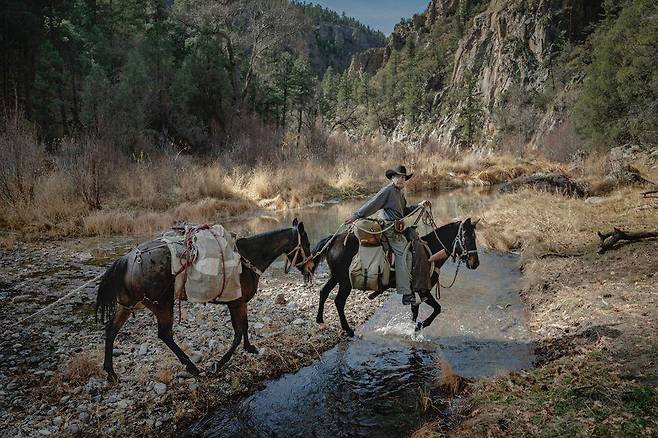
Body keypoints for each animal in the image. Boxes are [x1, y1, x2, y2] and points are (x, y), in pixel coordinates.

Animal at [93, 221, 316, 382]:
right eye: (306, 244)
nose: (311, 267)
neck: (247, 257)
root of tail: (128, 259)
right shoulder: (236, 302)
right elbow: (238, 332)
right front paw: (219, 364)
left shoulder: (239, 302)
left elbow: (244, 327)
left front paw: (249, 348)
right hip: (162, 304)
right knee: (165, 334)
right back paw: (192, 368)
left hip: (128, 305)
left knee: (111, 330)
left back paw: (111, 372)